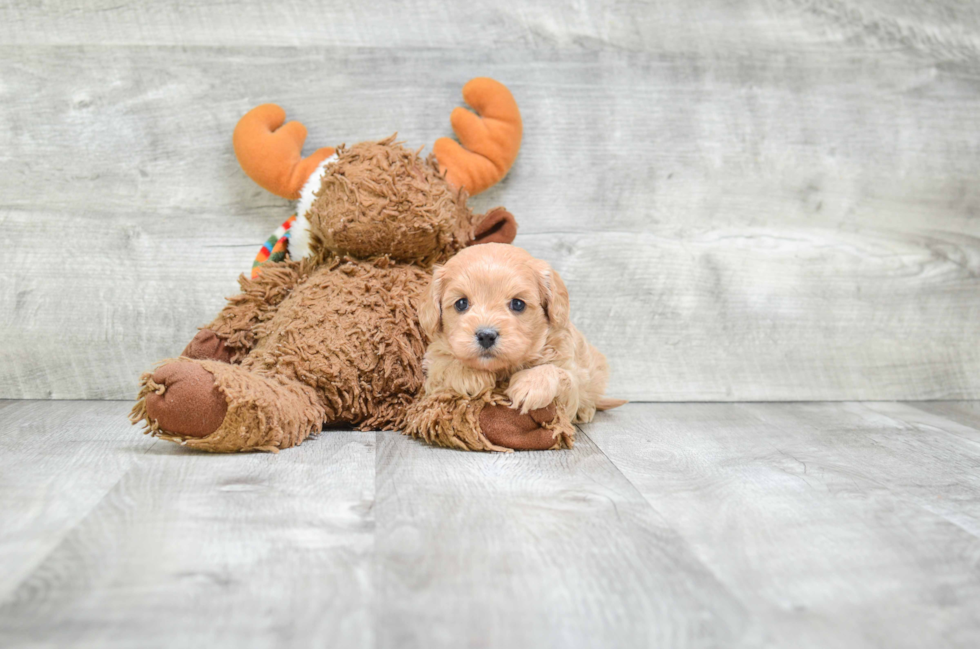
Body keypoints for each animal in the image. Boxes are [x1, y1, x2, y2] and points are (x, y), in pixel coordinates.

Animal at [418, 242, 624, 420]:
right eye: (461, 303)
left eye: (518, 304)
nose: (486, 336)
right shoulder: (433, 362)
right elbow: (443, 364)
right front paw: (467, 374)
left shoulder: (568, 372)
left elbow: (558, 373)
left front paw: (532, 385)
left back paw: (586, 410)